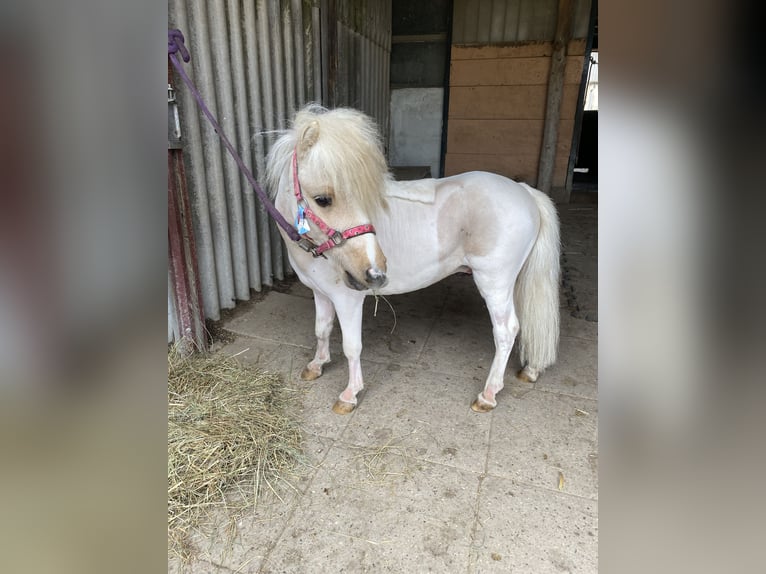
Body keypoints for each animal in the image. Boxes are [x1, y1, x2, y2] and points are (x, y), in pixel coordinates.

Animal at [268, 104, 560, 414]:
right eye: (323, 199)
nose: (375, 274)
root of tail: (524, 191)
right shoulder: (321, 293)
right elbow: (322, 329)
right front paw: (317, 365)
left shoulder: (348, 300)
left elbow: (351, 347)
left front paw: (350, 395)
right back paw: (530, 370)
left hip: (494, 282)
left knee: (506, 331)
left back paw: (488, 395)